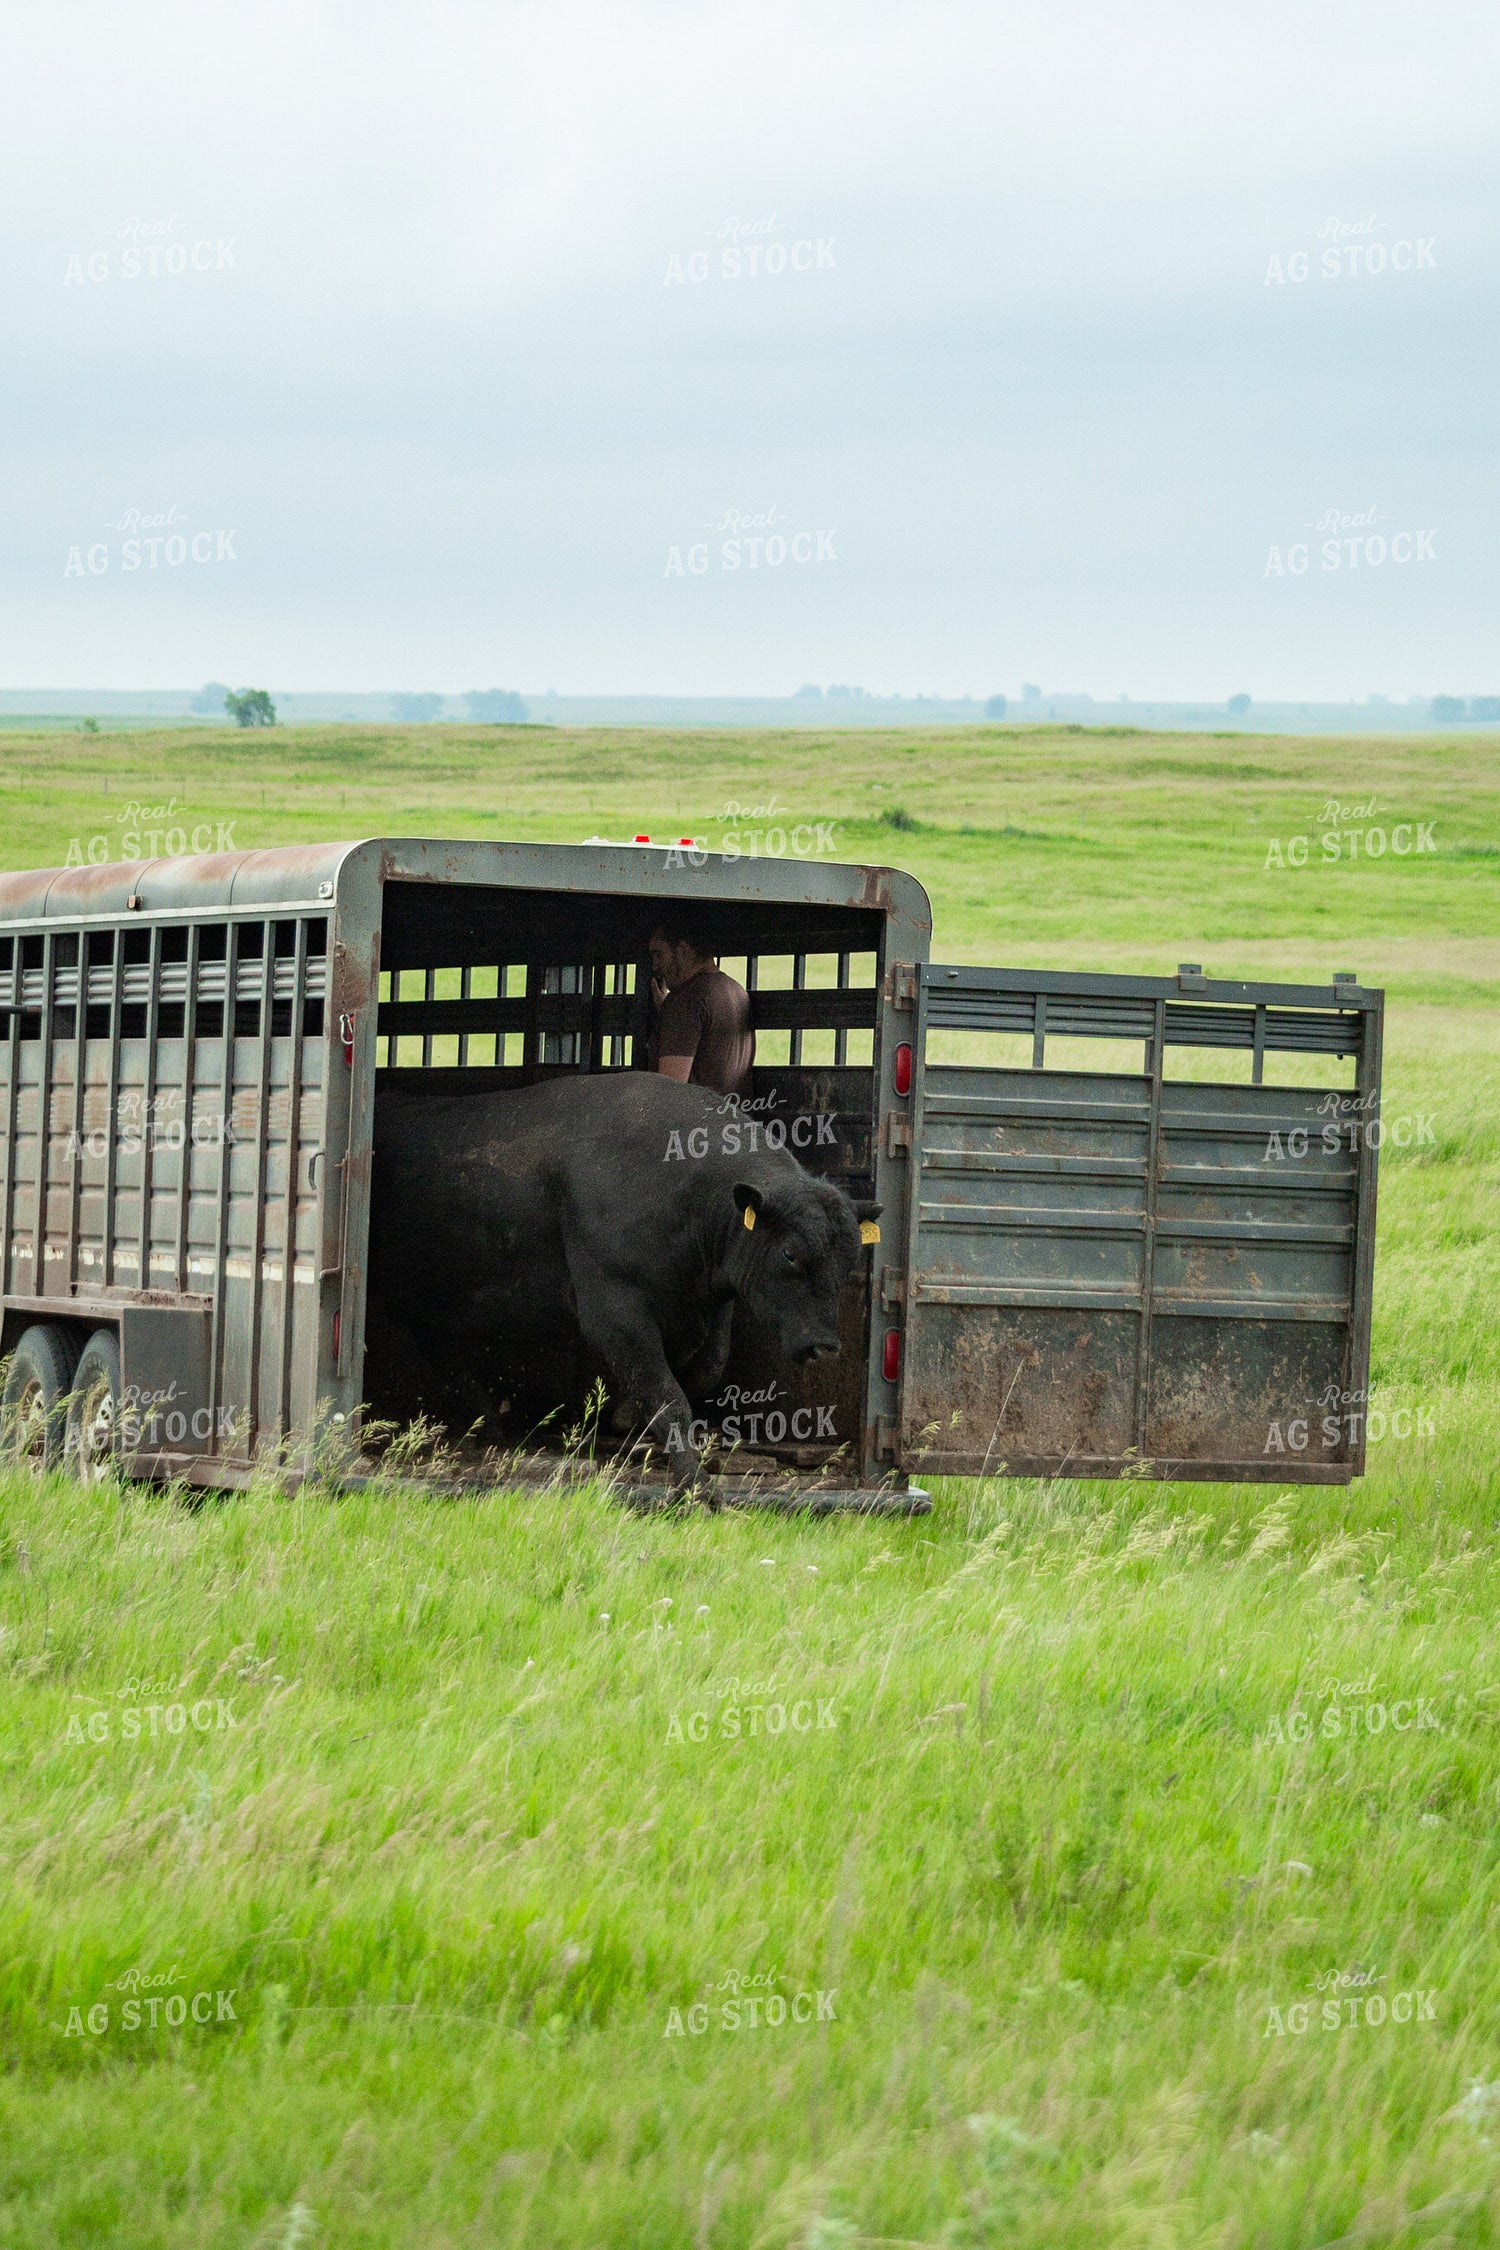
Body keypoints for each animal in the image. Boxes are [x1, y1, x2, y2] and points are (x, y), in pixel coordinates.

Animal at [367, 1072, 876, 1492]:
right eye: (791, 1253)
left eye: (851, 1258)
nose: (825, 1346)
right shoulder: (614, 1313)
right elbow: (666, 1394)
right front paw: (695, 1486)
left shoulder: (710, 1301)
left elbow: (707, 1365)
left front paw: (629, 1416)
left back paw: (492, 1429)